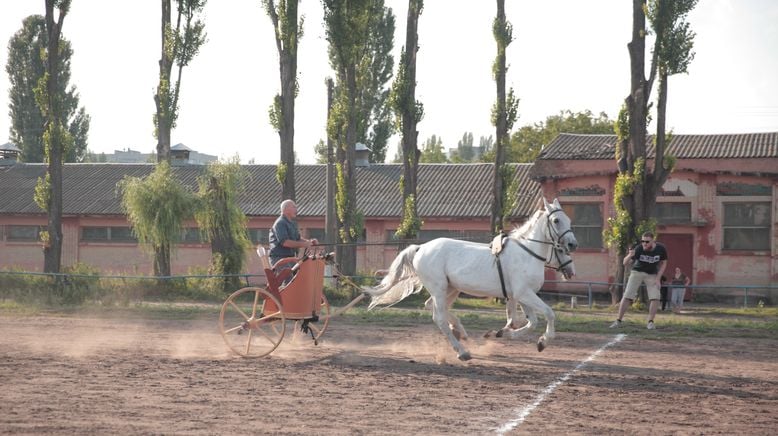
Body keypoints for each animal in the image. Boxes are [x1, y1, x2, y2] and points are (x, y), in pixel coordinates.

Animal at [364, 198, 576, 362]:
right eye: (556, 220)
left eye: (568, 219)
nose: (573, 244)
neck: (528, 253)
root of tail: (421, 248)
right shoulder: (524, 293)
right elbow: (549, 314)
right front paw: (543, 342)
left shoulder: (522, 295)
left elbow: (530, 322)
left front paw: (503, 333)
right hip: (439, 288)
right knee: (438, 317)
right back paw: (462, 352)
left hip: (451, 288)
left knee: (433, 307)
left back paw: (460, 332)